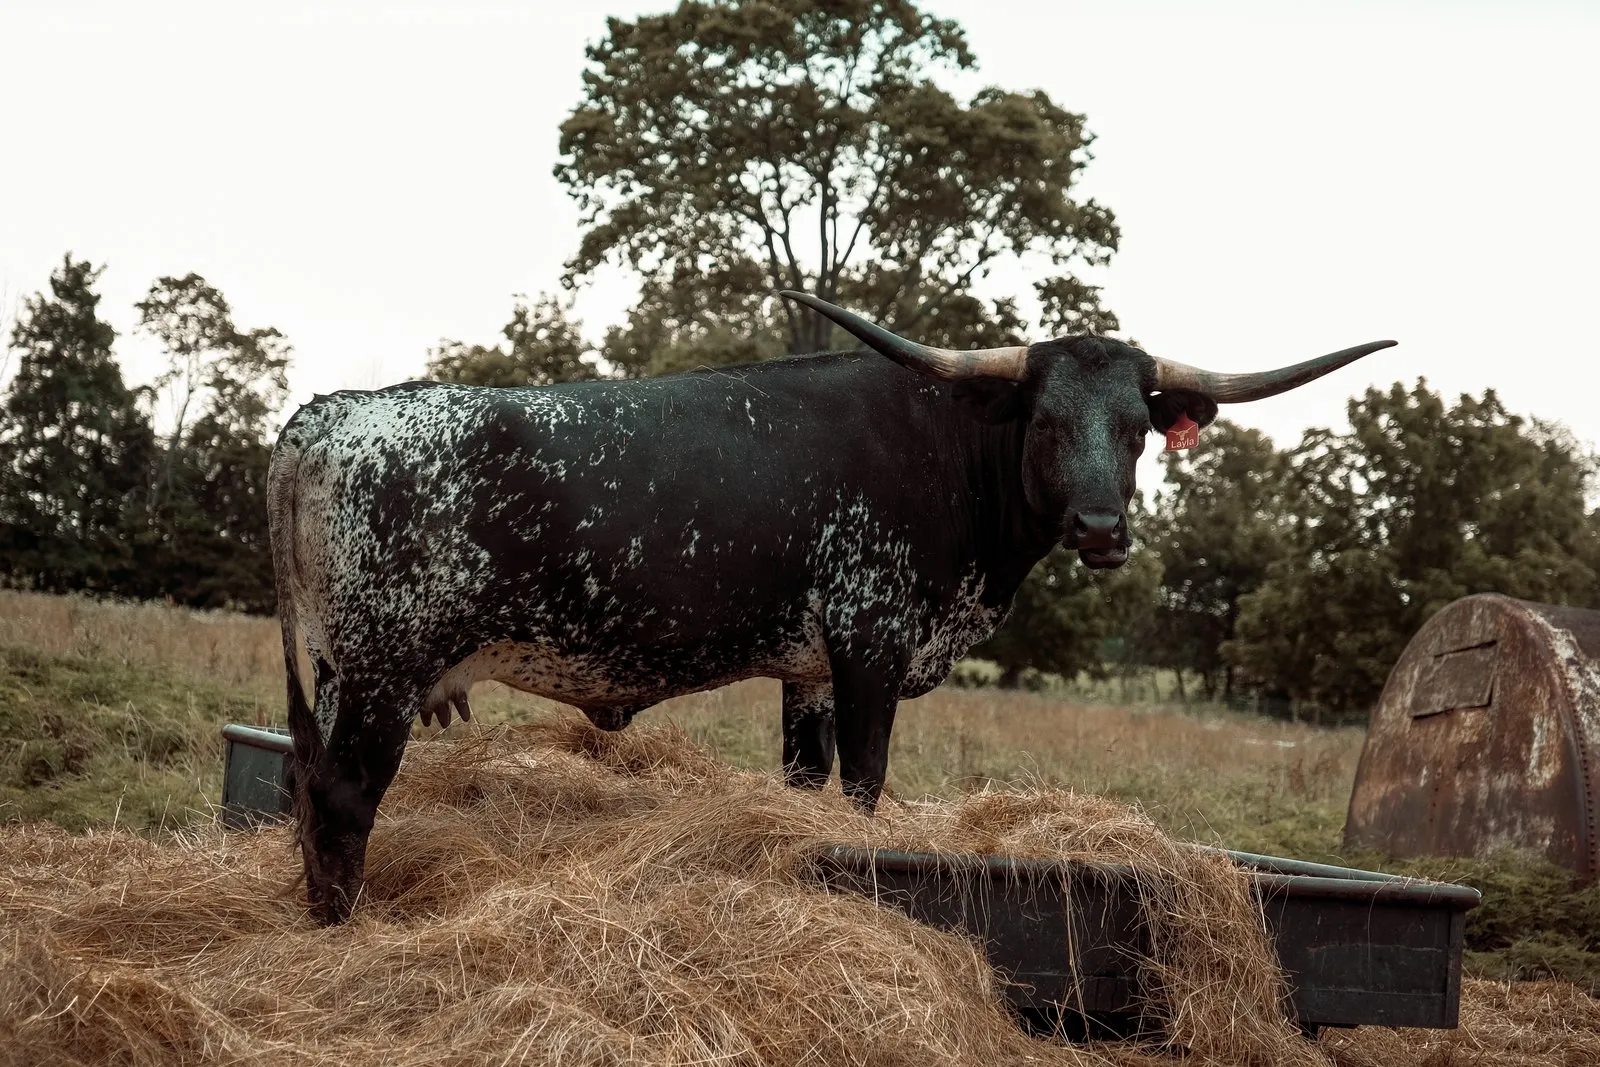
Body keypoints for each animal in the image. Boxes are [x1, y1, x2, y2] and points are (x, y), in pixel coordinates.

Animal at [267, 291, 1392, 923]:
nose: (1103, 526)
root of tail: (328, 413)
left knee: (308, 790)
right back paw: (344, 932)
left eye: (1137, 428)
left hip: (332, 669)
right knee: (343, 799)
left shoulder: (807, 668)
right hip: (385, 668)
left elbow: (806, 787)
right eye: (1045, 419)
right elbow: (864, 790)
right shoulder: (870, 645)